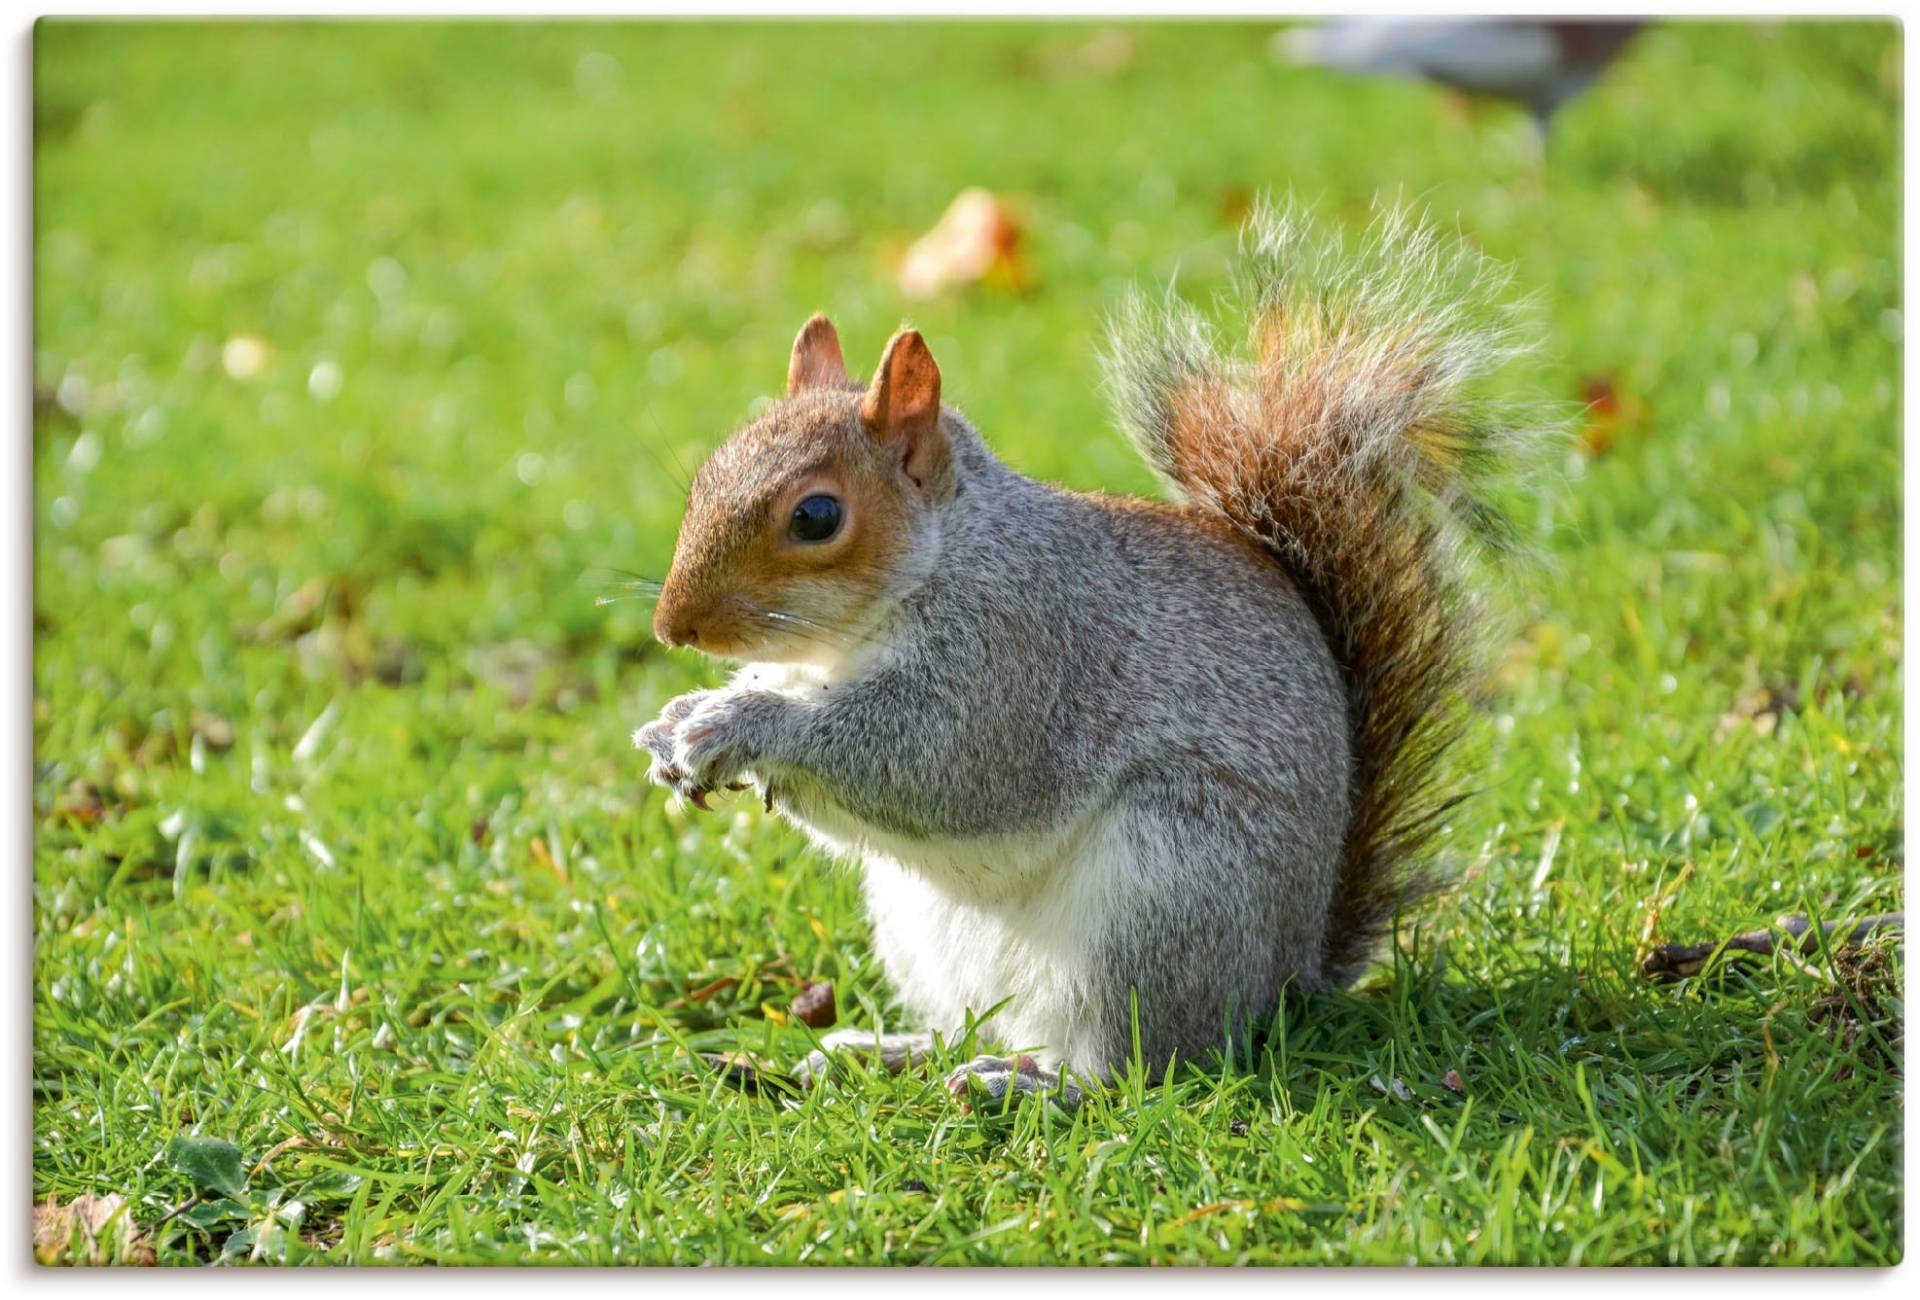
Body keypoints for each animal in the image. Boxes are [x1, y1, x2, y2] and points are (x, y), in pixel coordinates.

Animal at [637, 202, 1536, 1106]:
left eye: (817, 516)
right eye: (705, 475)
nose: (674, 627)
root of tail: (1288, 977)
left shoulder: (1019, 652)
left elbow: (927, 762)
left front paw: (739, 723)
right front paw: (675, 723)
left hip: (1161, 898)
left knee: (1136, 1071)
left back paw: (1027, 1085)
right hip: (924, 932)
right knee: (976, 1023)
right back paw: (891, 1050)